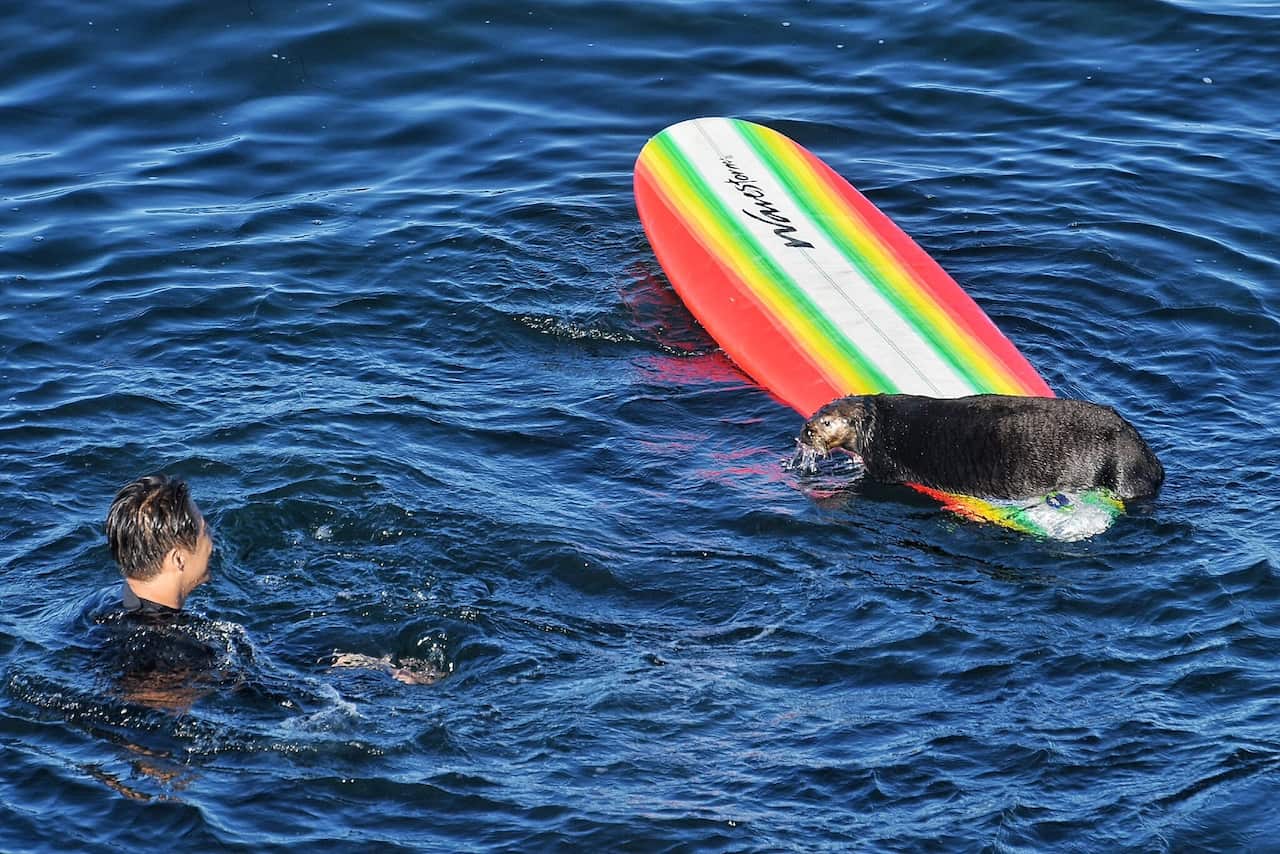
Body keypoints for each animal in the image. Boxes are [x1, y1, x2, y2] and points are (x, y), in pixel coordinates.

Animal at [799, 393, 1163, 501]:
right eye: (815, 413)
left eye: (826, 422)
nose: (806, 431)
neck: (883, 423)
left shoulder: (882, 463)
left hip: (1120, 469)